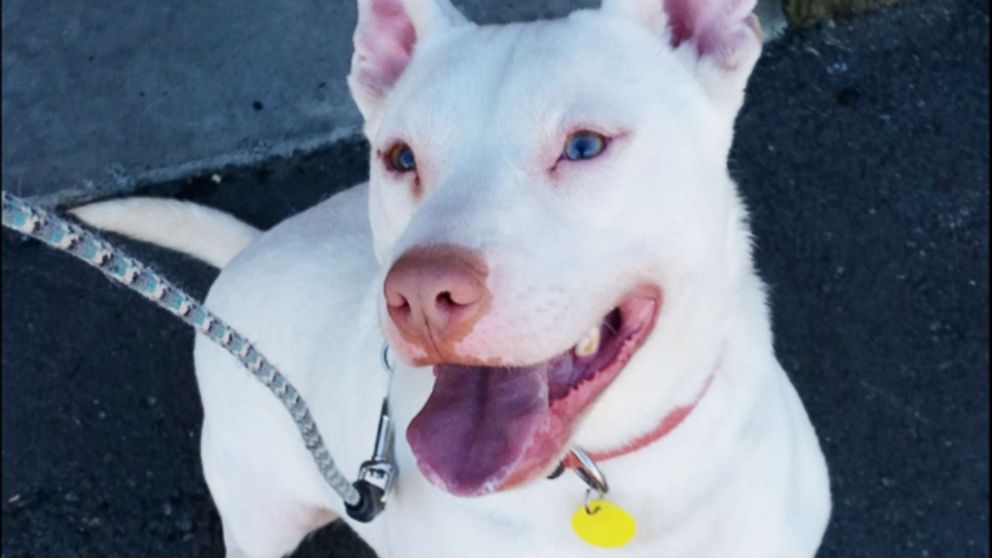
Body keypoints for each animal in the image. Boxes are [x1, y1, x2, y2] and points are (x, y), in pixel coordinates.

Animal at [75, 0, 828, 556]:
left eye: (584, 145)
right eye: (400, 157)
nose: (419, 295)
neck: (607, 474)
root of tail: (251, 249)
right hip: (261, 511)